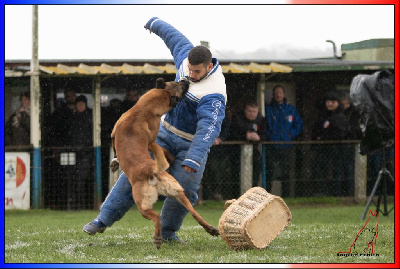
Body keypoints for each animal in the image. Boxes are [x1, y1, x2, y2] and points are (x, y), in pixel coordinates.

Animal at [108, 77, 219, 247]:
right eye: (177, 82)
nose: (186, 79)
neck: (143, 110)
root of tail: (152, 171)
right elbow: (166, 152)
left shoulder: (126, 137)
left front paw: (115, 161)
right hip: (179, 194)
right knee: (193, 213)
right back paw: (210, 229)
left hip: (142, 206)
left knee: (156, 217)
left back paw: (158, 238)